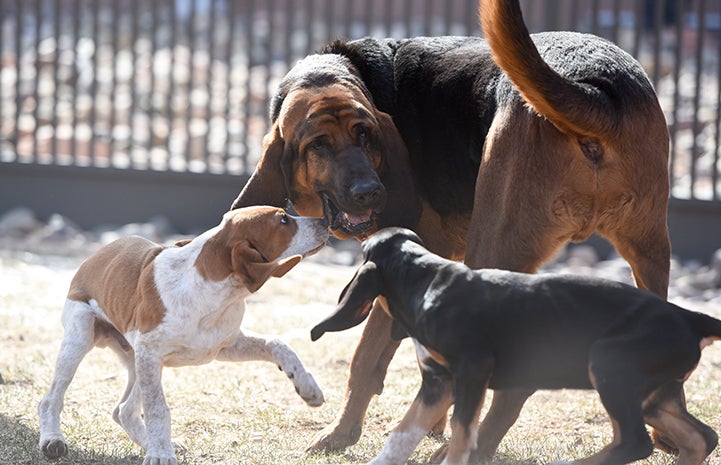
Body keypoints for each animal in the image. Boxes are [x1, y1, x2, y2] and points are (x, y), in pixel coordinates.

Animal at [39, 206, 326, 464]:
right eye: (283, 219)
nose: (325, 220)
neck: (216, 294)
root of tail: (95, 255)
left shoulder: (224, 345)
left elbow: (278, 343)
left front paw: (307, 385)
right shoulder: (150, 352)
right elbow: (158, 410)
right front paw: (160, 455)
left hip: (139, 361)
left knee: (124, 411)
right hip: (82, 338)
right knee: (51, 399)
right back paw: (52, 439)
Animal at [231, 0, 668, 454]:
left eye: (365, 134)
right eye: (318, 145)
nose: (370, 193)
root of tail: (590, 87)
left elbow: (366, 360)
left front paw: (341, 434)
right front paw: (435, 422)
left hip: (495, 251)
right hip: (650, 254)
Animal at [312, 227, 716, 464]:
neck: (427, 281)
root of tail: (690, 317)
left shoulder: (472, 372)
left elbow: (461, 435)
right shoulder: (439, 383)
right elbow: (405, 431)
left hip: (609, 367)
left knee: (635, 442)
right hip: (652, 393)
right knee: (700, 438)